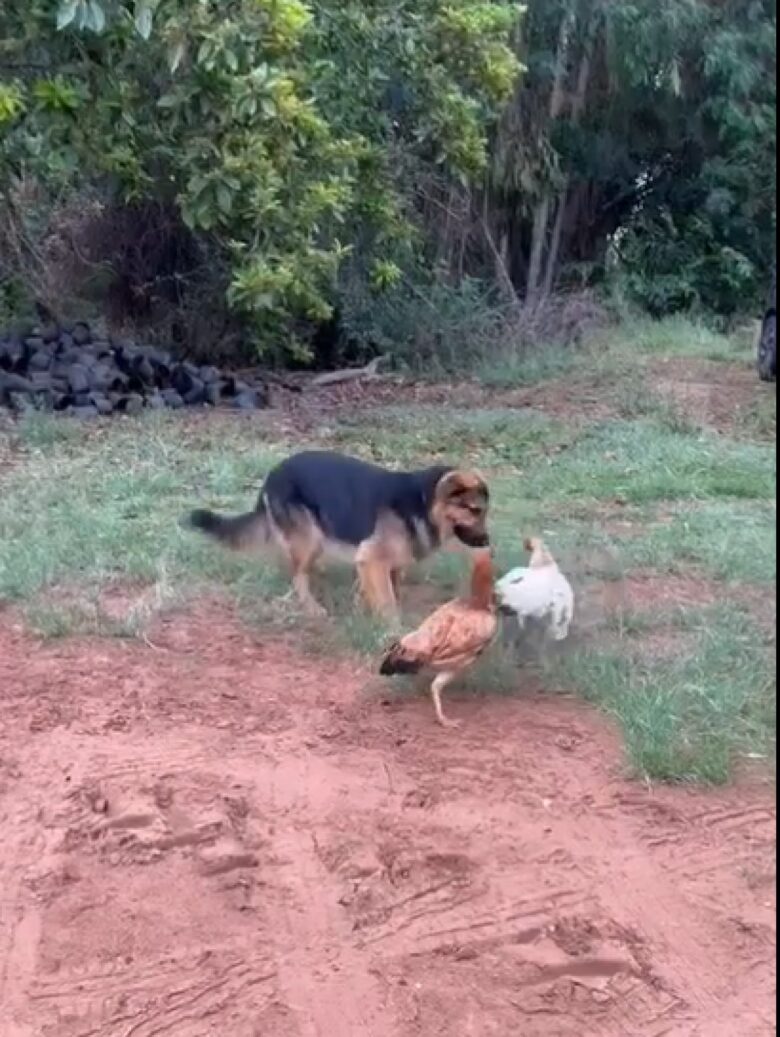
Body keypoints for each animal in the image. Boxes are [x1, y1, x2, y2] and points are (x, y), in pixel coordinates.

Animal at [187, 447, 487, 613]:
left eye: (484, 511)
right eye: (474, 510)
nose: (487, 541)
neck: (422, 503)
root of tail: (272, 474)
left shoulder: (385, 565)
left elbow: (388, 592)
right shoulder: (371, 560)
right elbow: (388, 604)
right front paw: (391, 633)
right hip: (309, 538)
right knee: (297, 576)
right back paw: (312, 608)